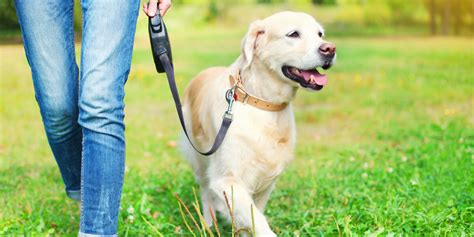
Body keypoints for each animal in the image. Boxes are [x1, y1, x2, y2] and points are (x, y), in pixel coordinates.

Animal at [180, 11, 336, 237]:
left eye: (320, 34)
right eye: (293, 34)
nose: (330, 49)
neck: (263, 103)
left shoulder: (266, 181)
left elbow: (252, 218)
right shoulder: (228, 179)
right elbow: (258, 222)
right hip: (200, 159)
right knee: (205, 191)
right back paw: (208, 225)